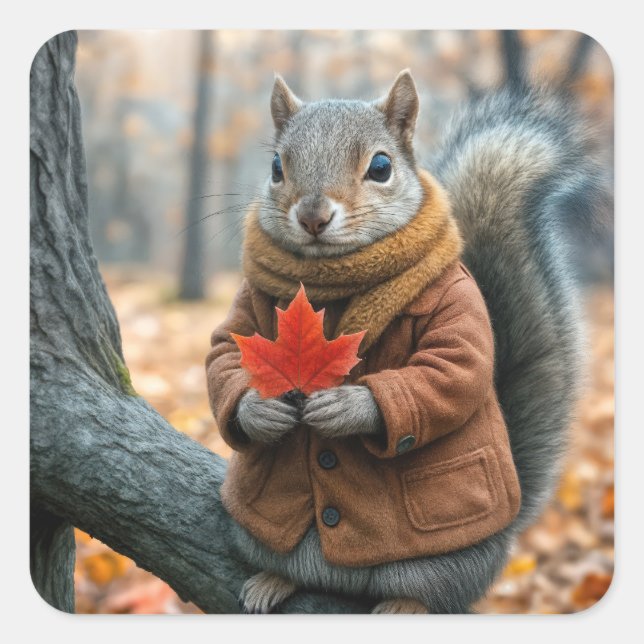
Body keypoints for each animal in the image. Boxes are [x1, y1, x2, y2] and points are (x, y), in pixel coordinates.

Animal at [205, 70, 609, 613]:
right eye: (275, 167)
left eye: (381, 167)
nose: (312, 216)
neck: (332, 282)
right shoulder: (248, 305)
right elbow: (225, 350)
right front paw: (259, 411)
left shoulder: (458, 302)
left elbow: (453, 366)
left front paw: (348, 407)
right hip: (260, 534)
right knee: (285, 560)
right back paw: (273, 581)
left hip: (442, 561)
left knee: (436, 592)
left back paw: (402, 605)